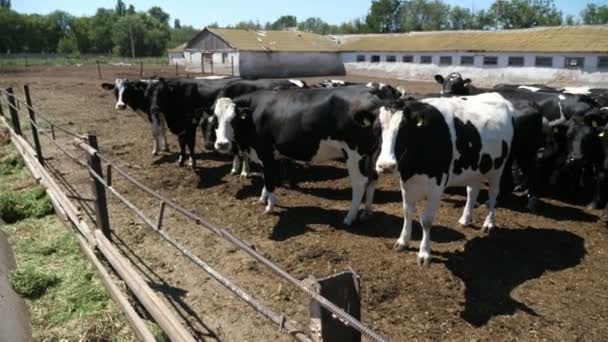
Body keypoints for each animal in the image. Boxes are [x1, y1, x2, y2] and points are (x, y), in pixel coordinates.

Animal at [211, 84, 402, 226]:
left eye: (233, 119)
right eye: (215, 119)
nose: (221, 144)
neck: (254, 112)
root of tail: (376, 91)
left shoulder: (265, 152)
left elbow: (270, 180)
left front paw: (269, 207)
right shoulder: (266, 156)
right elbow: (266, 177)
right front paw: (262, 199)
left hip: (355, 154)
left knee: (360, 183)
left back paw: (349, 218)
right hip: (373, 153)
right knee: (373, 179)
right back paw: (366, 212)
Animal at [376, 93, 512, 264]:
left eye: (404, 129)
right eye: (378, 129)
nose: (385, 166)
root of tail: (497, 95)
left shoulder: (437, 184)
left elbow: (426, 220)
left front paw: (424, 253)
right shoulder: (406, 181)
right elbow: (407, 212)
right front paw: (402, 241)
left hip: (498, 168)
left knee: (493, 194)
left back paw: (489, 223)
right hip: (475, 169)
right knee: (472, 191)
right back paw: (465, 219)